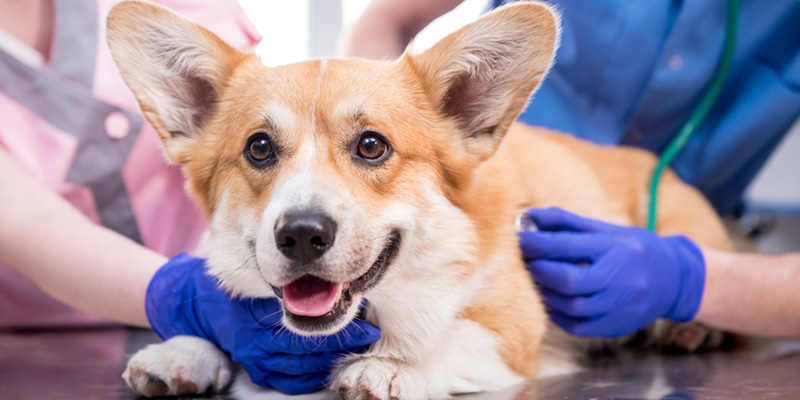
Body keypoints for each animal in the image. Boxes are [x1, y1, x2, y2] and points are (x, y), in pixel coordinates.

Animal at [106, 1, 732, 398]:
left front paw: (391, 368)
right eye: (259, 148)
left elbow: (447, 338)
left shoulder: (514, 331)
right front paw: (184, 348)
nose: (302, 234)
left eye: (371, 145)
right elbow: (222, 323)